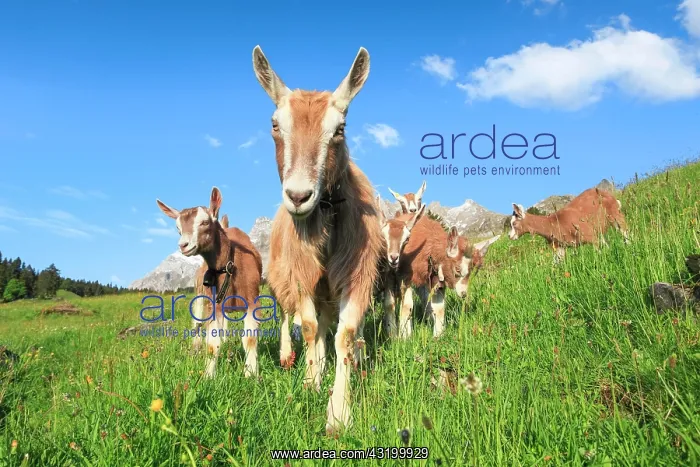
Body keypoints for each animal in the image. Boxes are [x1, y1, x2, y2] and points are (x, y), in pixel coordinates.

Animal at [157, 187, 263, 378]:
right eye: (177, 228)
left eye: (205, 222)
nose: (183, 245)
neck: (229, 266)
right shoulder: (213, 304)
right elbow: (213, 344)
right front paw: (208, 376)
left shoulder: (252, 300)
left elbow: (250, 339)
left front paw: (250, 374)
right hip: (201, 295)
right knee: (198, 324)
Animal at [252, 45, 383, 433]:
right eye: (275, 125)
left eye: (340, 129)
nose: (298, 196)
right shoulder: (301, 273)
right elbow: (308, 327)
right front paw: (310, 382)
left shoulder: (355, 273)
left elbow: (344, 334)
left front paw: (339, 411)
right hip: (280, 278)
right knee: (288, 316)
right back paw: (289, 357)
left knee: (327, 325)